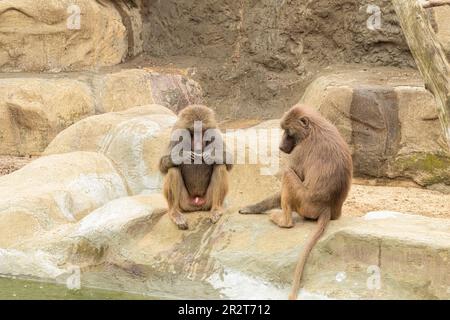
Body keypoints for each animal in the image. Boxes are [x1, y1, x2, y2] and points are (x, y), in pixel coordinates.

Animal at [239, 104, 352, 298]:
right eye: (284, 130)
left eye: (288, 132)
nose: (281, 146)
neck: (313, 129)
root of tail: (327, 208)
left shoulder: (299, 151)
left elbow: (291, 172)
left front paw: (252, 208)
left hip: (304, 202)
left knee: (287, 174)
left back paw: (283, 221)